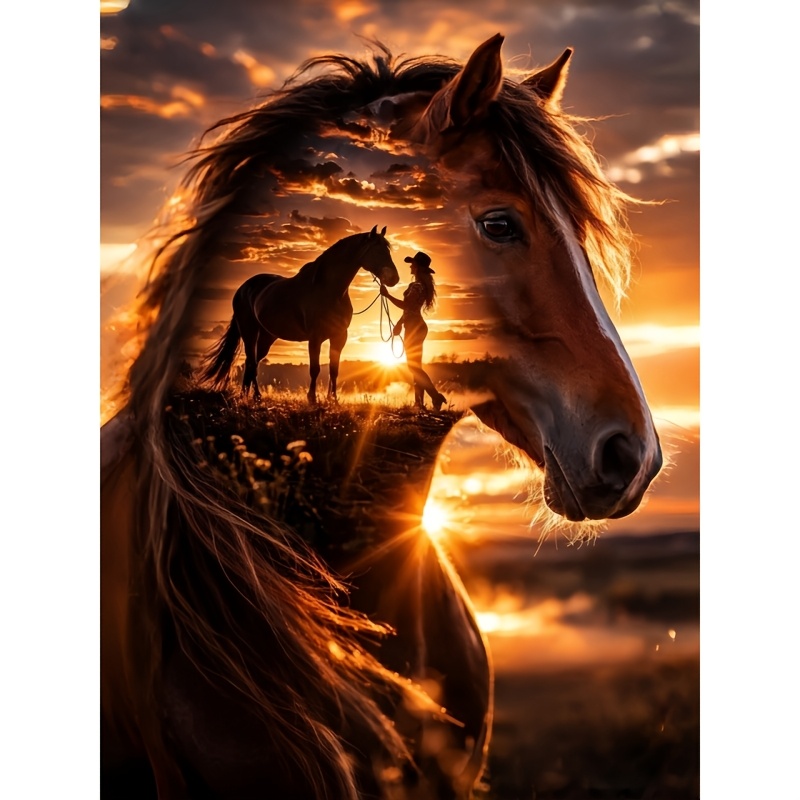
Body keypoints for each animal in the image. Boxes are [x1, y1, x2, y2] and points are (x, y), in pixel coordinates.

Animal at [200, 225, 399, 403]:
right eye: (377, 251)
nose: (394, 279)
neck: (329, 290)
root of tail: (243, 288)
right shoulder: (315, 337)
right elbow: (315, 369)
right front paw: (312, 398)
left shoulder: (339, 336)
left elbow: (334, 370)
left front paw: (333, 399)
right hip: (249, 332)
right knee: (250, 362)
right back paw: (253, 396)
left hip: (267, 337)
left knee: (254, 363)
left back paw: (249, 395)